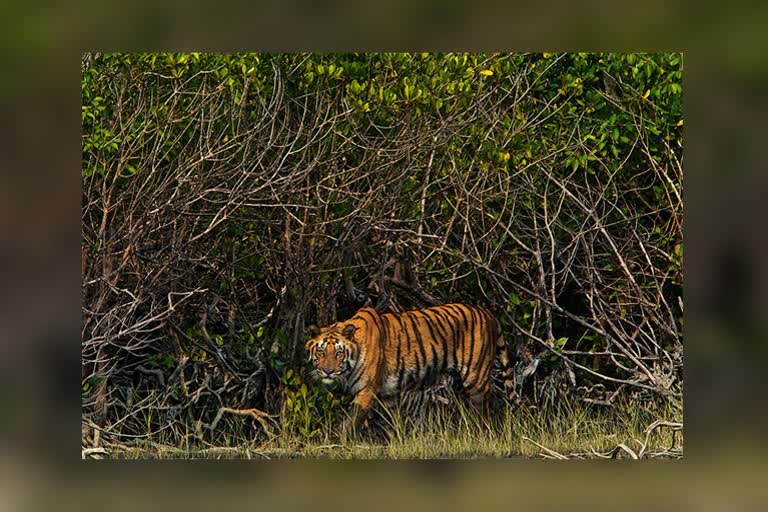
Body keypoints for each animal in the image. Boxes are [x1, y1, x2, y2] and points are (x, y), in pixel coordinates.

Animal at [304, 304, 516, 428]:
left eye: (338, 353)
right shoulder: (389, 394)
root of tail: (488, 313)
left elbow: (351, 422)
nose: (328, 371)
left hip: (475, 377)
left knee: (482, 408)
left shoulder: (367, 390)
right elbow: (391, 425)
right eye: (321, 352)